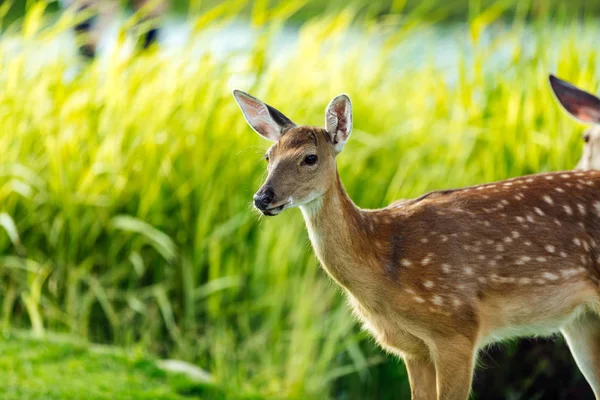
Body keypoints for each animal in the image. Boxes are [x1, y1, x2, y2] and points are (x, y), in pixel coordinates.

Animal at [232, 80, 600, 396]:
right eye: (268, 157)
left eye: (310, 157)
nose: (262, 198)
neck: (383, 261)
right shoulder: (412, 349)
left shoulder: (457, 329)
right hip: (580, 320)